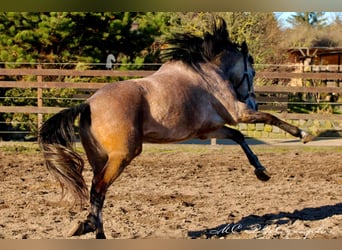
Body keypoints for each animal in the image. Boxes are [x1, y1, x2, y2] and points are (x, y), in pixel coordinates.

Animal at [38, 16, 312, 239]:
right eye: (252, 72)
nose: (253, 99)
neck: (208, 73)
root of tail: (88, 104)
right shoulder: (238, 113)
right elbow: (268, 118)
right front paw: (303, 134)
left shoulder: (209, 130)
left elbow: (238, 136)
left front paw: (261, 172)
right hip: (122, 156)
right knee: (98, 190)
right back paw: (95, 230)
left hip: (99, 158)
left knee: (97, 189)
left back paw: (90, 227)